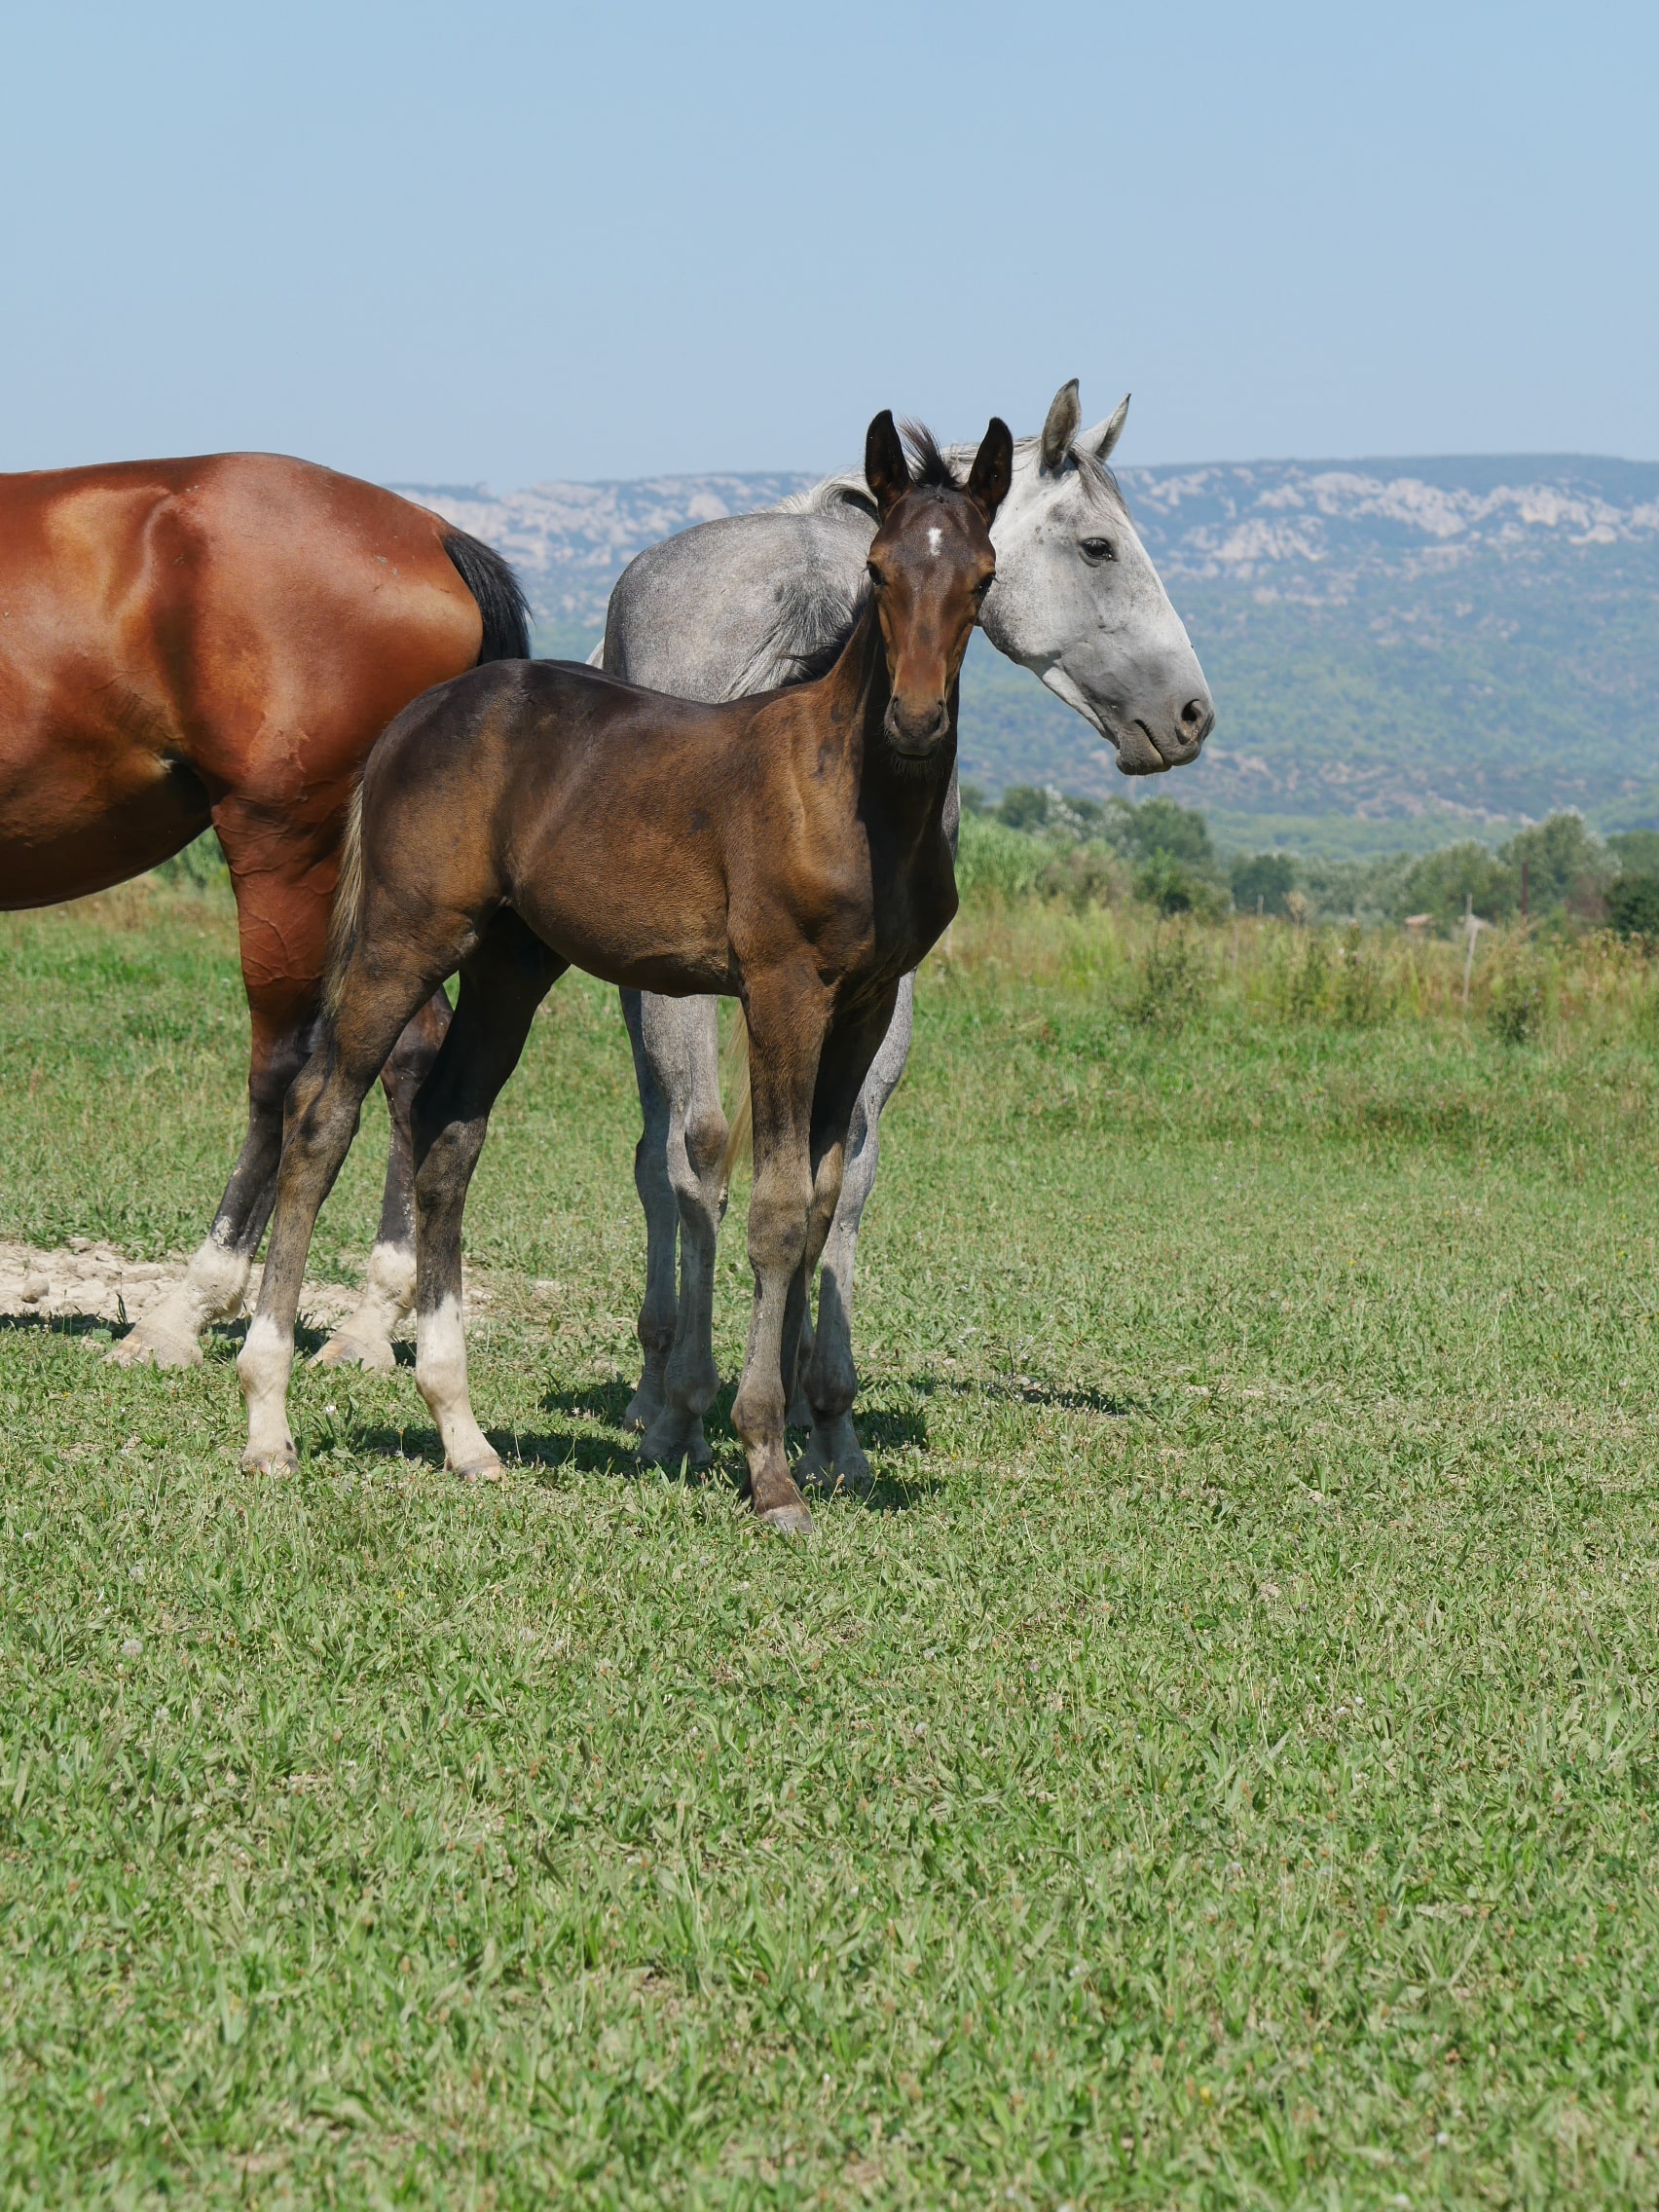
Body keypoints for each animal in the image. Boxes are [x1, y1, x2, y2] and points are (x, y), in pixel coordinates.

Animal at [0, 452, 528, 1369]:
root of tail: (434, 536)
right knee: (408, 1058)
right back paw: (368, 1323)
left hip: (286, 857)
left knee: (287, 1073)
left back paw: (182, 1312)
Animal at [236, 412, 1013, 1535]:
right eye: (877, 569)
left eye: (983, 578)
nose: (915, 721)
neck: (845, 790)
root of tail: (416, 717)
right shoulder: (783, 989)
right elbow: (778, 1208)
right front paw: (767, 1465)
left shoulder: (862, 1003)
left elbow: (823, 1203)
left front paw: (803, 1441)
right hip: (402, 935)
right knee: (321, 1114)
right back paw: (267, 1421)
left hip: (513, 963)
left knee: (449, 1132)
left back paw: (463, 1434)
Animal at [598, 380, 1214, 1483]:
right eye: (1099, 546)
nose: (1191, 713)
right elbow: (734, 1167)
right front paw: (746, 1403)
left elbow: (824, 1172)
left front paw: (814, 1408)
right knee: (683, 1155)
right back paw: (675, 1394)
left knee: (723, 1152)